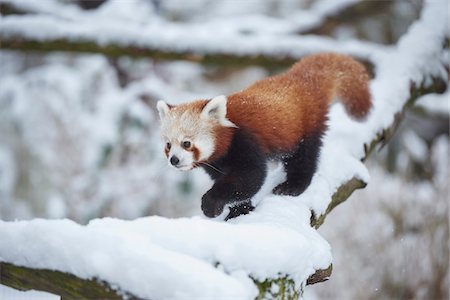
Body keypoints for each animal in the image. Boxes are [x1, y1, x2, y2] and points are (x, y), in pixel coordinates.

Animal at [156, 52, 370, 219]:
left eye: (186, 143)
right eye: (168, 145)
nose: (174, 160)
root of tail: (301, 80)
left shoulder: (245, 142)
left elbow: (251, 177)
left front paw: (211, 203)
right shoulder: (217, 164)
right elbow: (240, 186)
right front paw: (240, 209)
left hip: (305, 126)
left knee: (304, 157)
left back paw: (293, 186)